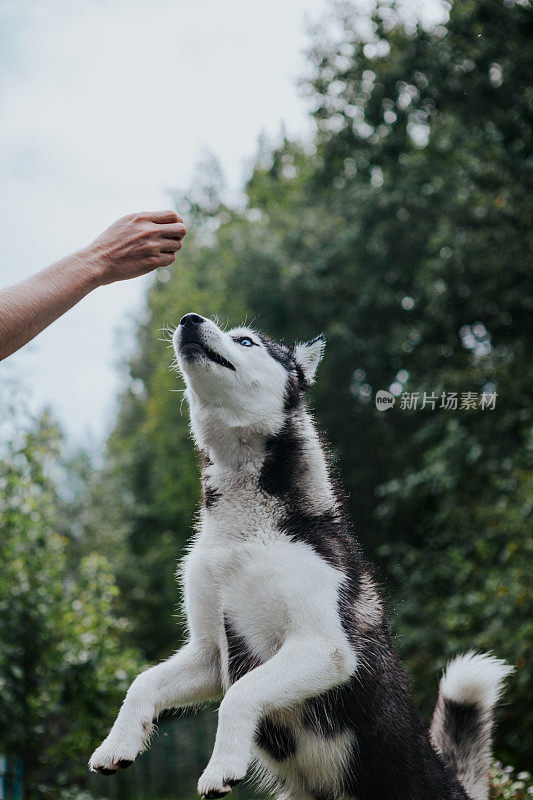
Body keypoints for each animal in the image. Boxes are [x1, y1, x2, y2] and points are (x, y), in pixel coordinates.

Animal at [89, 312, 512, 800]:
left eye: (246, 341)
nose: (189, 320)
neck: (246, 530)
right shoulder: (210, 654)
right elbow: (144, 682)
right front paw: (118, 742)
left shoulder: (322, 648)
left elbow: (240, 694)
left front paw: (221, 765)